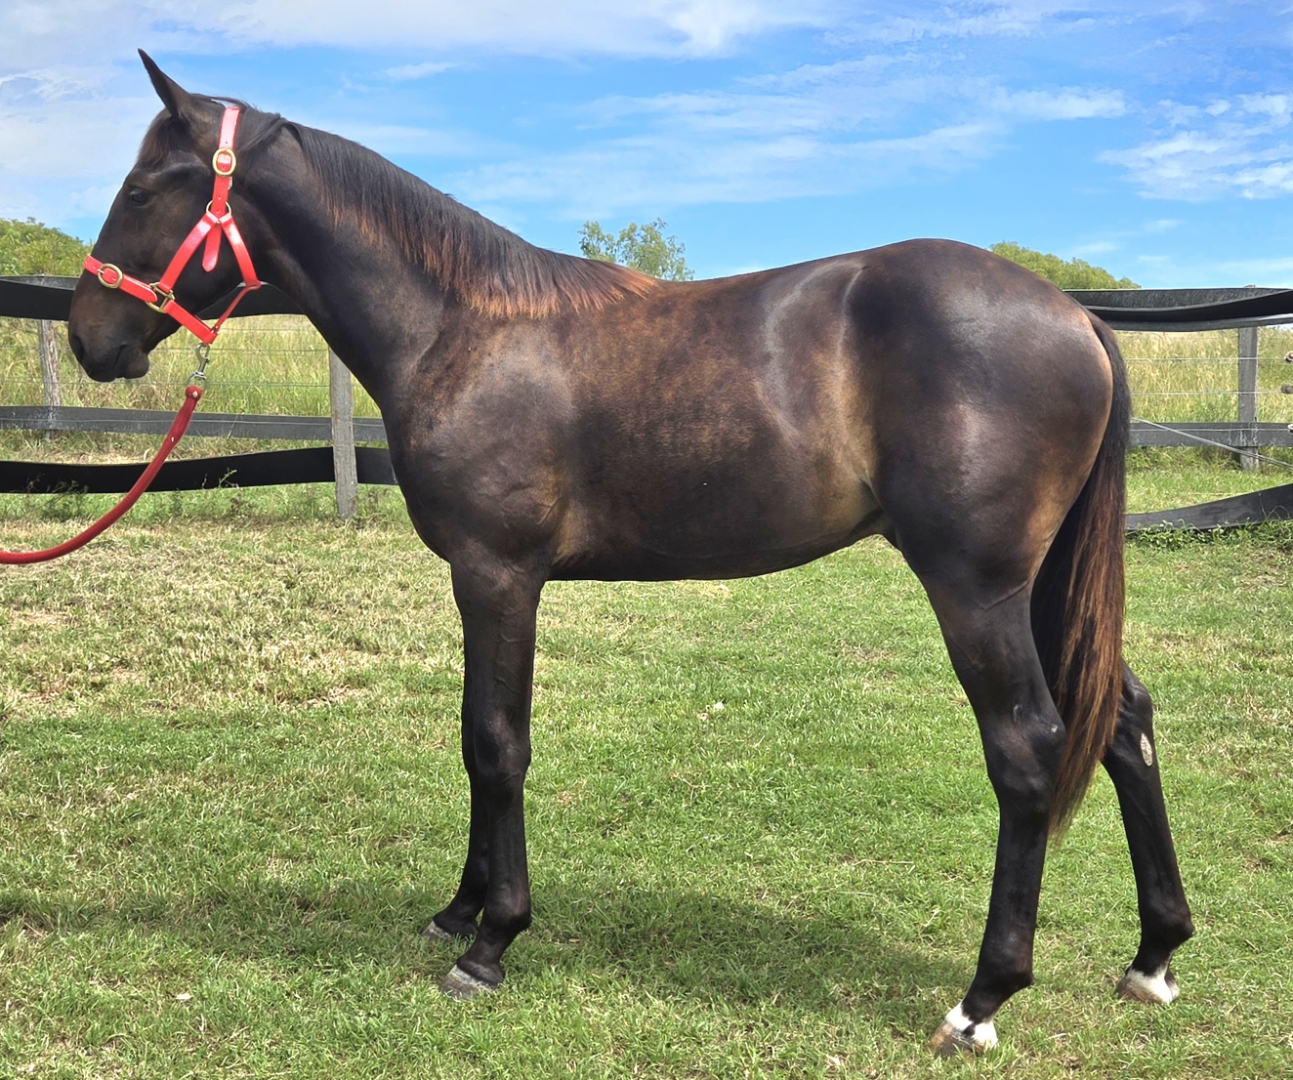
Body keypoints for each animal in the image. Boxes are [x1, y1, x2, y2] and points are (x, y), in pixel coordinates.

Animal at [65, 53, 1193, 1055]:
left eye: (140, 188)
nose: (88, 338)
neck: (462, 328)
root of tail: (1075, 315)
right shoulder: (477, 582)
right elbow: (472, 739)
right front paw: (458, 909)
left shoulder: (499, 575)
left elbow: (497, 743)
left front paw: (491, 943)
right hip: (1038, 587)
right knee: (1124, 720)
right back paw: (1153, 956)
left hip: (977, 589)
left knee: (1028, 749)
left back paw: (982, 999)